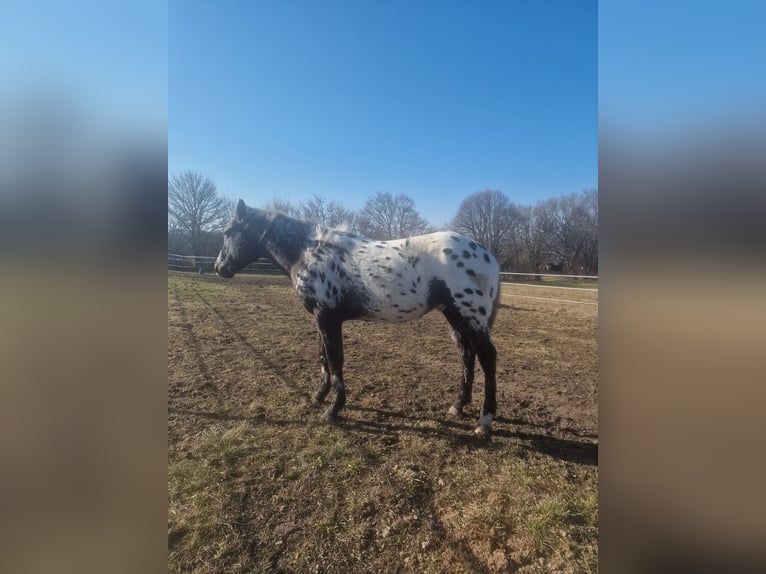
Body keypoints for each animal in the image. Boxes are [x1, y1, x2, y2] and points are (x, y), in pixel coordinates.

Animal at [216, 199, 504, 436]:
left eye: (228, 233)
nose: (220, 268)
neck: (310, 253)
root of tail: (487, 255)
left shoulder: (327, 317)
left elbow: (335, 360)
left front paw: (333, 409)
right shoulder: (320, 319)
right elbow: (323, 357)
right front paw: (318, 396)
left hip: (471, 317)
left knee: (487, 357)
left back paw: (484, 421)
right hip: (454, 315)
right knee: (466, 354)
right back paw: (458, 405)